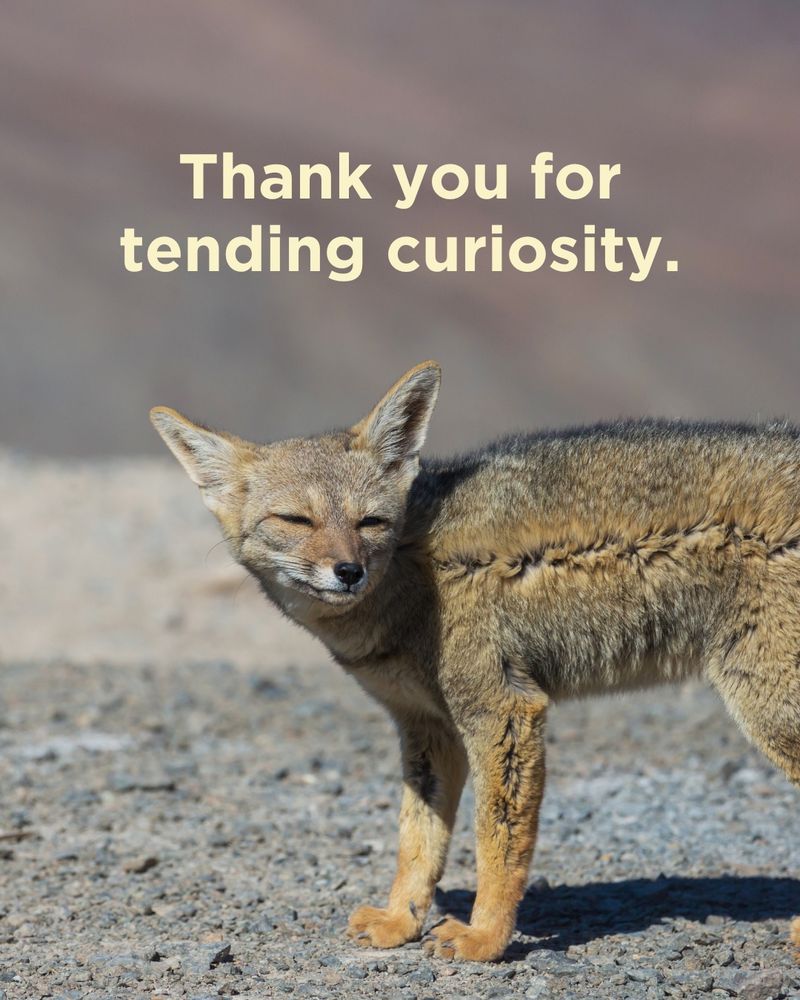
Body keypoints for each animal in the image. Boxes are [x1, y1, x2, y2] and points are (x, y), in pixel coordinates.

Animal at [151, 361, 800, 962]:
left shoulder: (504, 709)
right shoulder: (427, 727)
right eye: (295, 520)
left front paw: (485, 938)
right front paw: (401, 921)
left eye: (369, 522)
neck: (412, 572)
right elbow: (418, 840)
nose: (348, 571)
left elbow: (498, 841)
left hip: (769, 711)